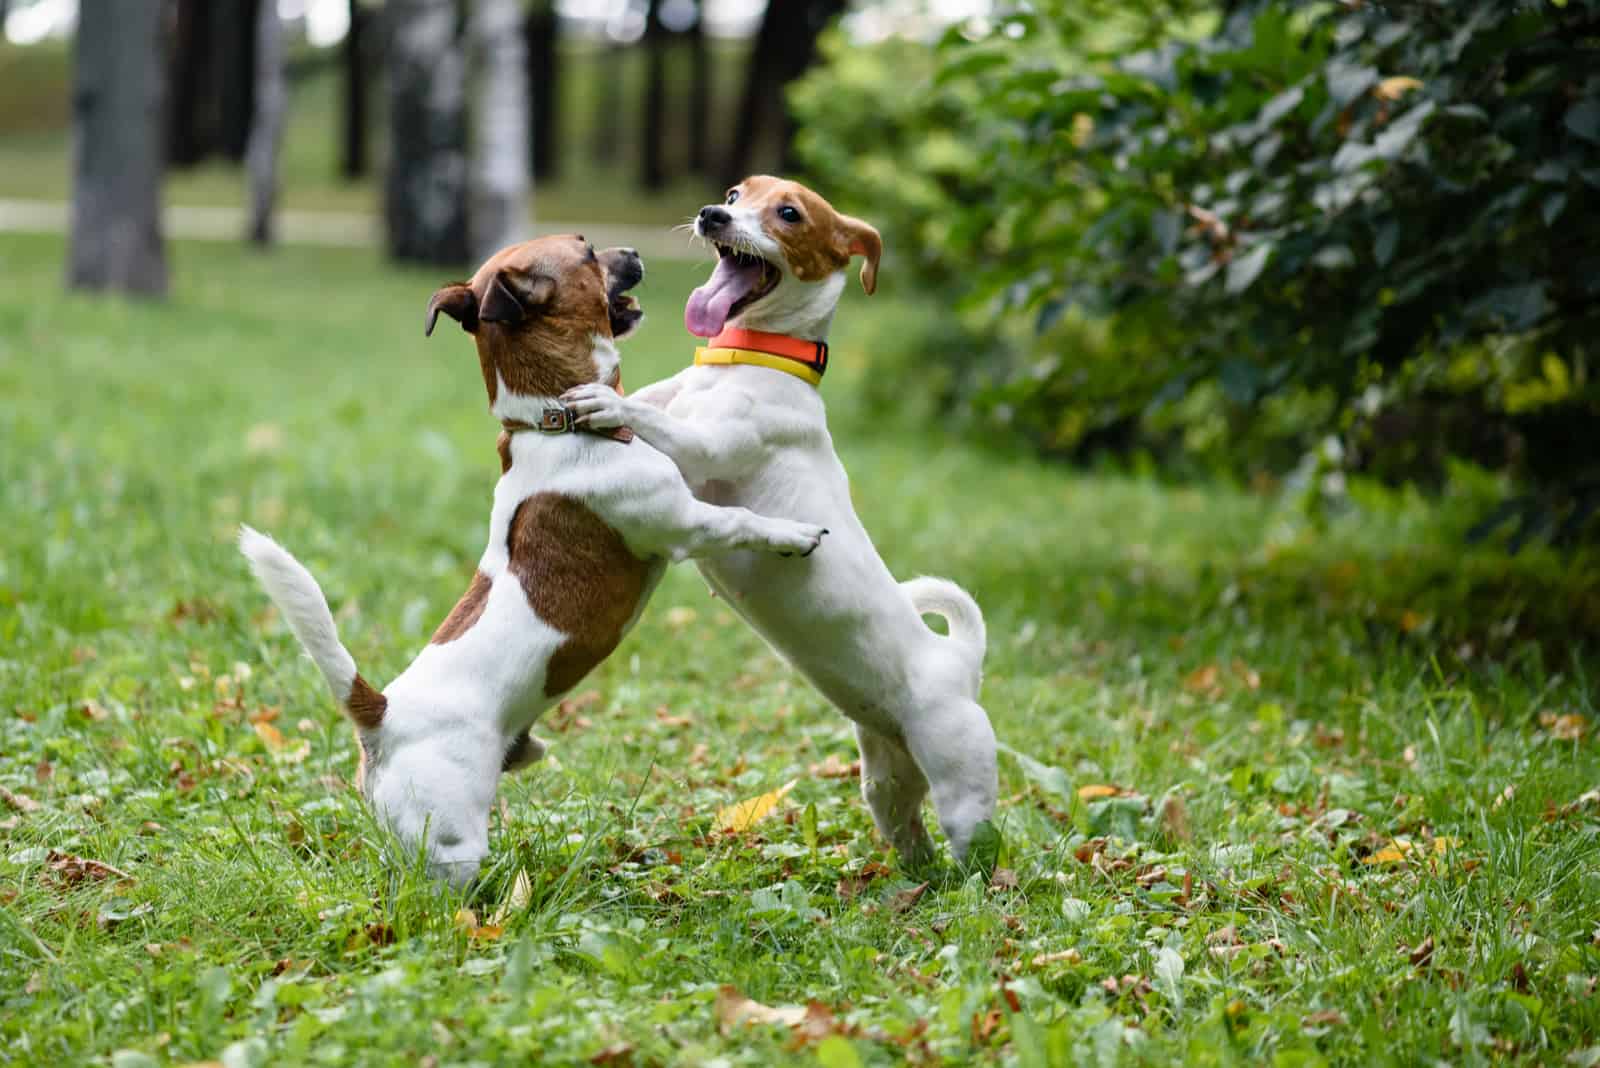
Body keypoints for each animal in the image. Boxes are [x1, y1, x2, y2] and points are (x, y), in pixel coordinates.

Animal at [246, 235, 838, 882]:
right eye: (587, 251)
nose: (633, 248)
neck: (556, 425)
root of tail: (382, 716)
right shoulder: (684, 522)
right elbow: (739, 521)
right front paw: (793, 533)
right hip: (452, 843)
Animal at [556, 179, 992, 863]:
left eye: (789, 213)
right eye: (736, 193)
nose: (713, 214)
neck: (746, 359)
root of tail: (959, 660)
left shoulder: (704, 450)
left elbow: (655, 422)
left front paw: (605, 402)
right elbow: (651, 402)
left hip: (963, 788)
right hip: (886, 784)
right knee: (911, 834)